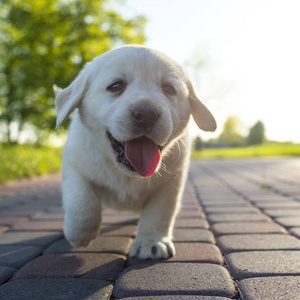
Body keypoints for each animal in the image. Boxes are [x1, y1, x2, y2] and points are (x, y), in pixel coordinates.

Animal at [55, 45, 216, 260]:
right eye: (116, 86)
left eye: (169, 89)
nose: (147, 114)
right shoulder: (74, 166)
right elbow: (82, 202)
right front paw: (79, 234)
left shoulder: (172, 182)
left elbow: (159, 212)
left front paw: (151, 242)